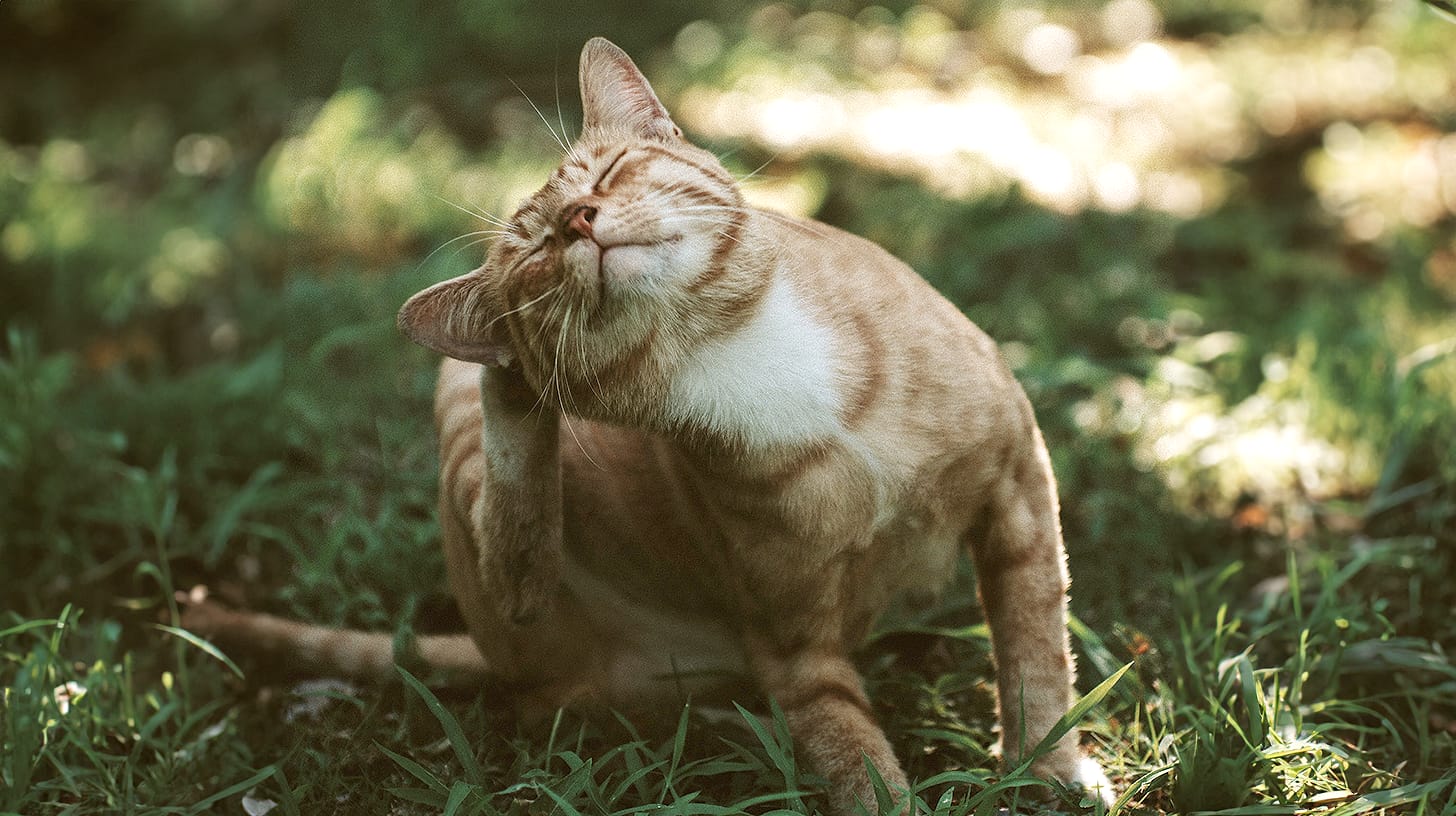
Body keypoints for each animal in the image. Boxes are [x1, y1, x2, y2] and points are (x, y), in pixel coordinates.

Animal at [182, 36, 1112, 810]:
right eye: (533, 253)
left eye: (610, 172)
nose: (577, 222)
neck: (733, 348)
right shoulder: (797, 647)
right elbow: (853, 754)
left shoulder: (1018, 487)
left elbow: (1036, 652)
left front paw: (1050, 770)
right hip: (490, 509)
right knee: (518, 556)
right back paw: (516, 382)